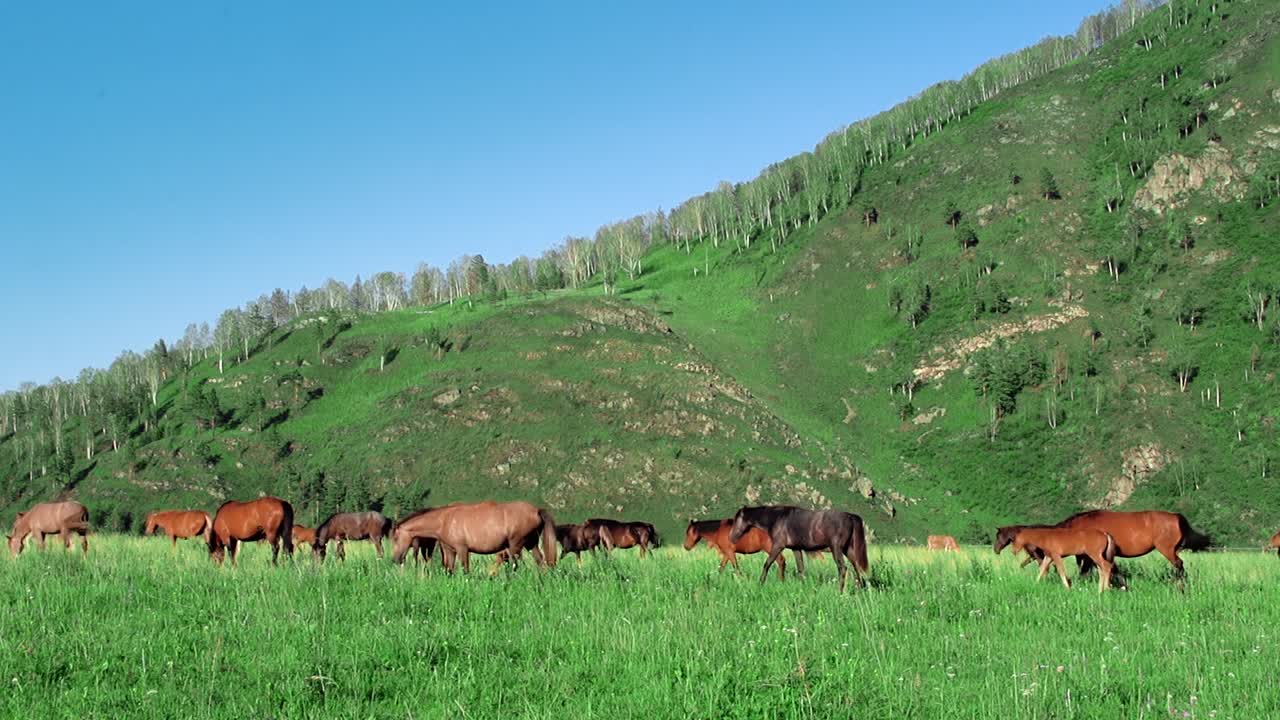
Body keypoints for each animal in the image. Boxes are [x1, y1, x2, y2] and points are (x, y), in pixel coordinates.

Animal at [391, 501, 556, 572]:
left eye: (396, 538)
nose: (395, 559)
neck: (445, 519)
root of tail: (536, 510)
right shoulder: (450, 550)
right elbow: (450, 570)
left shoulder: (462, 549)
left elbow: (465, 570)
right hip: (531, 544)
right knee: (540, 562)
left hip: (515, 546)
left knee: (515, 566)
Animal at [729, 505, 869, 592]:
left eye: (737, 520)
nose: (731, 537)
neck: (777, 518)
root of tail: (850, 516)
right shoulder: (796, 549)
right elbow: (801, 569)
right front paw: (803, 587)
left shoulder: (778, 546)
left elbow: (767, 564)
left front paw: (760, 583)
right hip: (848, 550)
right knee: (856, 567)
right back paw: (860, 589)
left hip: (836, 549)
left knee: (842, 568)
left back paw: (839, 591)